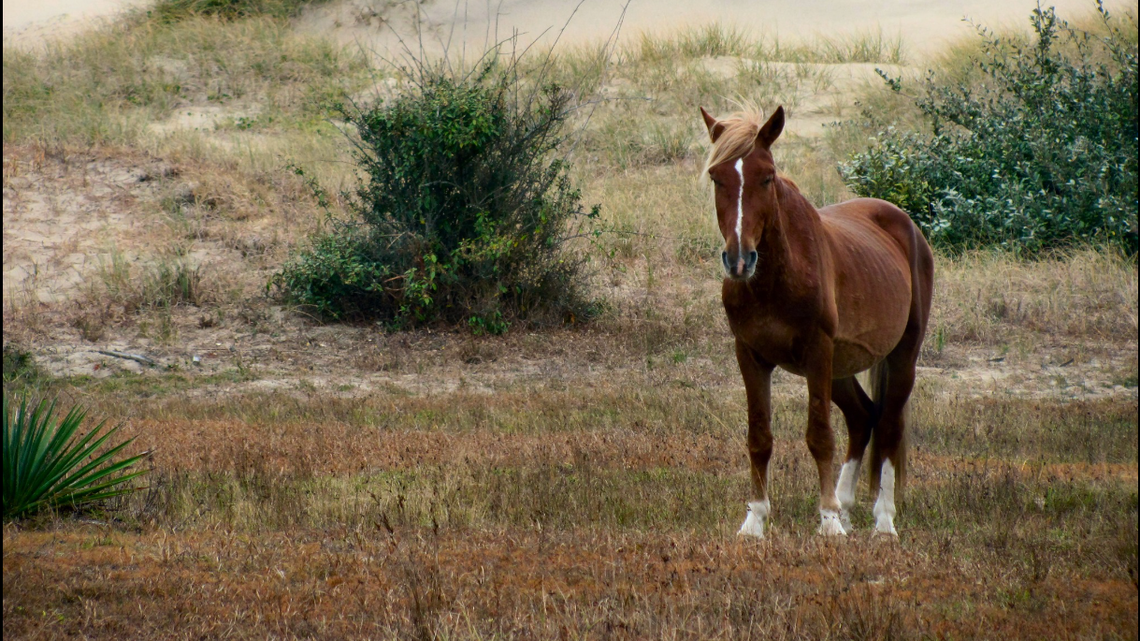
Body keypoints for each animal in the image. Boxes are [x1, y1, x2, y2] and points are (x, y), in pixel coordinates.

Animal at [699, 105, 934, 537]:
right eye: (716, 177)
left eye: (767, 176)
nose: (739, 260)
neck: (775, 279)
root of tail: (906, 225)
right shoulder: (750, 355)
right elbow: (759, 436)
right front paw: (755, 520)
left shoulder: (817, 351)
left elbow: (820, 435)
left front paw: (828, 522)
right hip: (838, 369)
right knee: (863, 417)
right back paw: (845, 505)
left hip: (900, 356)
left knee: (889, 426)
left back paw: (883, 520)